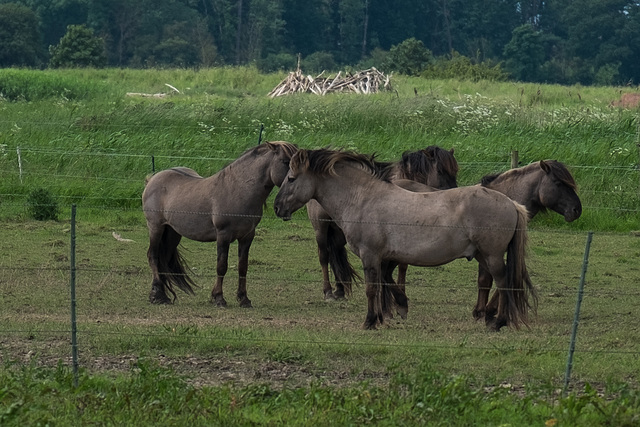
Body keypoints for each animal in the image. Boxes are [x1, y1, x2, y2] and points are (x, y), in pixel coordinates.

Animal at [142, 140, 298, 308]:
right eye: (285, 161)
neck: (237, 189)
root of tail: (152, 179)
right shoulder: (223, 235)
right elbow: (222, 266)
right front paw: (219, 298)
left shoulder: (247, 236)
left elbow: (243, 267)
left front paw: (244, 298)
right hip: (156, 228)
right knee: (153, 256)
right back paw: (157, 295)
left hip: (173, 232)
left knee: (164, 257)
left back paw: (163, 294)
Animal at [308, 147, 458, 300]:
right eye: (440, 170)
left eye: (455, 171)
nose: (453, 192)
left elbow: (403, 266)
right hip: (321, 228)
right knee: (324, 255)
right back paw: (328, 291)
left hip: (339, 232)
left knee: (336, 251)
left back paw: (339, 289)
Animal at [472, 160, 584, 324]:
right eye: (558, 183)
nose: (577, 210)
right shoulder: (488, 252)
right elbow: (488, 279)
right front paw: (482, 311)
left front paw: (488, 310)